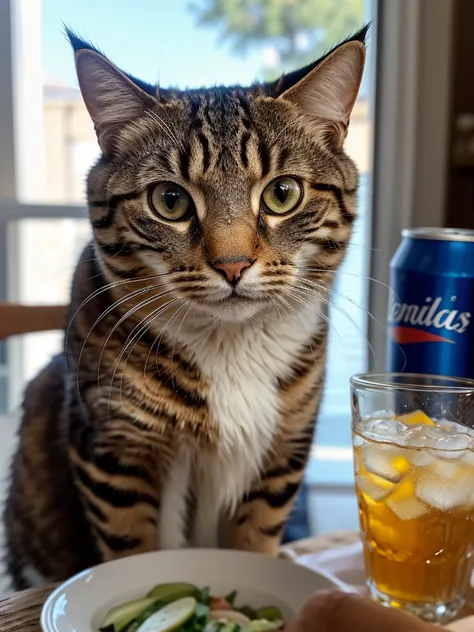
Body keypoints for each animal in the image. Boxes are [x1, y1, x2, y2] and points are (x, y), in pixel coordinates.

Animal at [2, 23, 366, 588]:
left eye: (282, 194)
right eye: (169, 201)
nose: (233, 264)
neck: (230, 346)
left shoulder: (285, 444)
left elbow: (257, 535)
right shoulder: (114, 448)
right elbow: (131, 544)